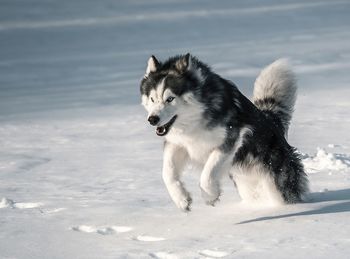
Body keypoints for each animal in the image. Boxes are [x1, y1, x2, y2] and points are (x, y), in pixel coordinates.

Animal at [139, 53, 308, 212]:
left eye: (170, 98)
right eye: (152, 99)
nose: (152, 119)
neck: (195, 120)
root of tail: (271, 119)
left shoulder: (231, 138)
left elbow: (208, 172)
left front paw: (209, 195)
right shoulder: (178, 144)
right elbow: (167, 173)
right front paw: (181, 199)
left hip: (276, 180)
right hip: (245, 181)